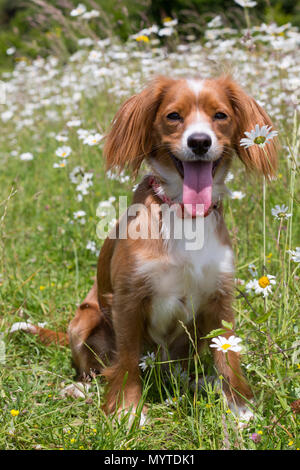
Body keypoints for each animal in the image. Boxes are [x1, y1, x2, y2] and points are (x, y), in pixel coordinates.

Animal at [12, 76, 278, 422]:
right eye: (173, 116)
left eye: (220, 115)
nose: (200, 142)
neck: (183, 213)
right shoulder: (129, 297)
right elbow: (125, 361)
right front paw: (127, 412)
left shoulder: (220, 297)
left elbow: (228, 357)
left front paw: (240, 412)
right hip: (85, 319)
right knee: (96, 369)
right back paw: (80, 389)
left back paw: (198, 382)